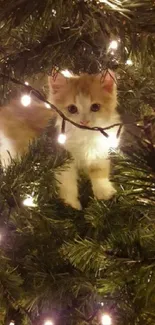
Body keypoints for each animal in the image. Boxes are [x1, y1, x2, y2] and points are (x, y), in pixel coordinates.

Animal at [48, 69, 121, 209]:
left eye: (95, 107)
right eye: (72, 108)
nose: (84, 121)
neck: (84, 137)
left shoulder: (101, 151)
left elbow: (99, 172)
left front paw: (104, 192)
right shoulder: (62, 155)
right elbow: (67, 180)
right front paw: (71, 204)